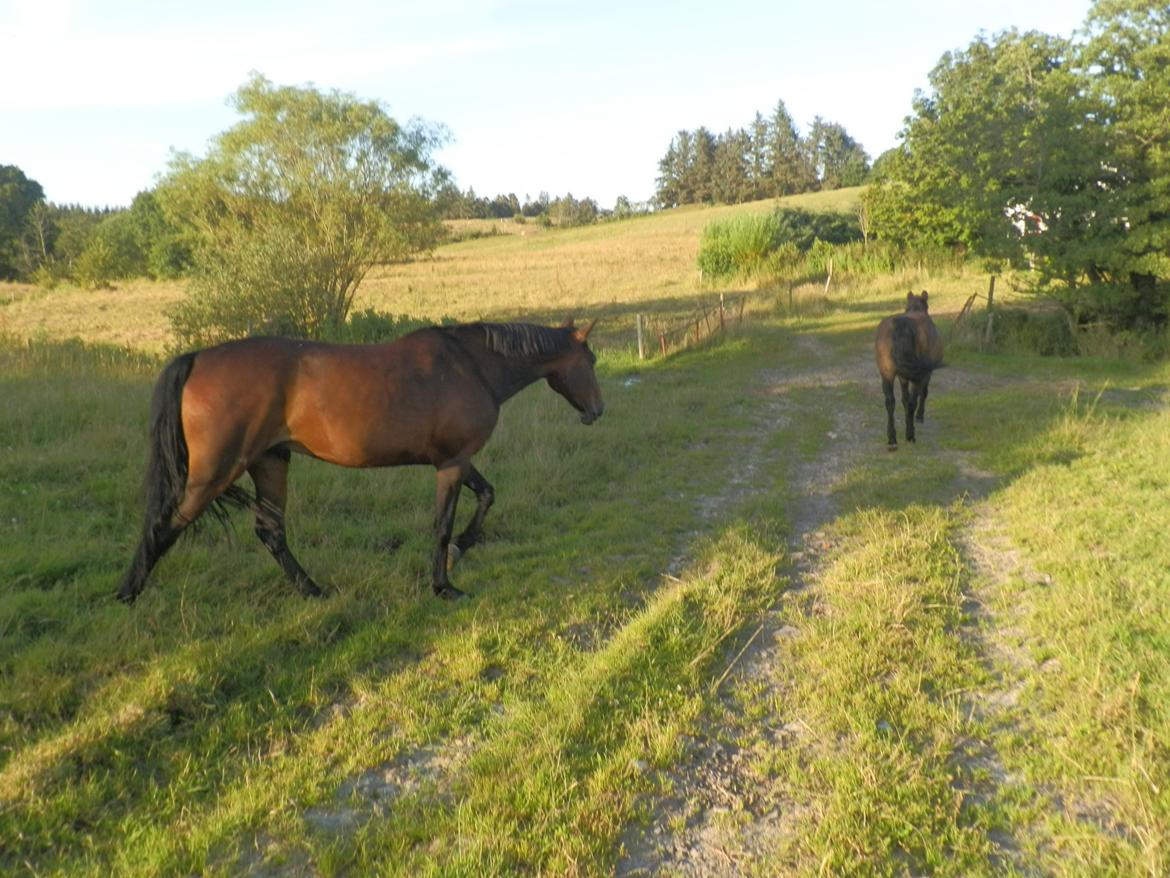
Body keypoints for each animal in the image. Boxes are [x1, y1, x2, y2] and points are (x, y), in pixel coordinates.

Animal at [115, 320, 603, 604]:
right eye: (593, 360)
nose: (597, 411)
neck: (471, 364)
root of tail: (198, 358)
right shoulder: (452, 463)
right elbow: (443, 524)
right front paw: (443, 585)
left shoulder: (457, 460)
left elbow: (486, 496)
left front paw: (462, 550)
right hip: (215, 473)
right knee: (164, 525)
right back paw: (127, 594)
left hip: (270, 462)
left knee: (270, 532)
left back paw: (313, 591)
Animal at [875, 292, 945, 449]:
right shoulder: (925, 374)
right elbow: (922, 394)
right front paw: (919, 416)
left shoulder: (903, 377)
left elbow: (904, 400)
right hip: (917, 376)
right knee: (914, 401)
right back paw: (910, 435)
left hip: (887, 374)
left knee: (890, 402)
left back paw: (892, 439)